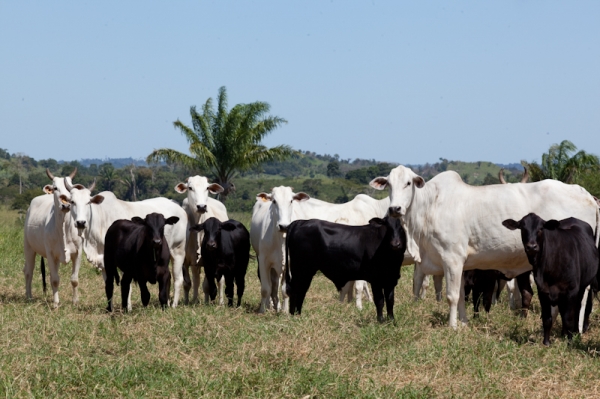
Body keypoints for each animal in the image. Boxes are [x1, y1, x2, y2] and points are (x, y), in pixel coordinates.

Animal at [24, 169, 82, 306]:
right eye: (55, 188)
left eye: (71, 189)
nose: (66, 205)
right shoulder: (50, 254)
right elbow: (55, 280)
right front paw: (56, 303)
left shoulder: (78, 253)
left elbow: (74, 280)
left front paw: (75, 301)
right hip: (28, 248)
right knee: (29, 272)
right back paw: (29, 296)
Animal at [63, 180, 188, 310]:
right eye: (72, 202)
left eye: (88, 202)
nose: (80, 223)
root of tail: (179, 207)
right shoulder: (104, 262)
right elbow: (108, 284)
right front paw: (111, 307)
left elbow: (128, 286)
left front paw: (128, 307)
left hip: (178, 251)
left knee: (178, 279)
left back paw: (173, 305)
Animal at [370, 166, 600, 328]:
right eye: (388, 184)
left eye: (408, 183)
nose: (394, 208)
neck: (430, 205)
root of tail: (586, 194)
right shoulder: (459, 264)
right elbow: (462, 295)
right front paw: (463, 323)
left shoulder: (452, 259)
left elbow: (452, 296)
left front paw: (452, 326)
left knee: (582, 295)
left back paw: (577, 328)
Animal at [502, 214, 600, 346]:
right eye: (522, 228)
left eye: (540, 228)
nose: (532, 246)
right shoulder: (543, 291)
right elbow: (547, 318)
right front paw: (546, 342)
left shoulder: (571, 291)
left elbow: (569, 318)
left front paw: (570, 342)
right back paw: (564, 333)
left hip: (583, 286)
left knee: (579, 307)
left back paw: (575, 331)